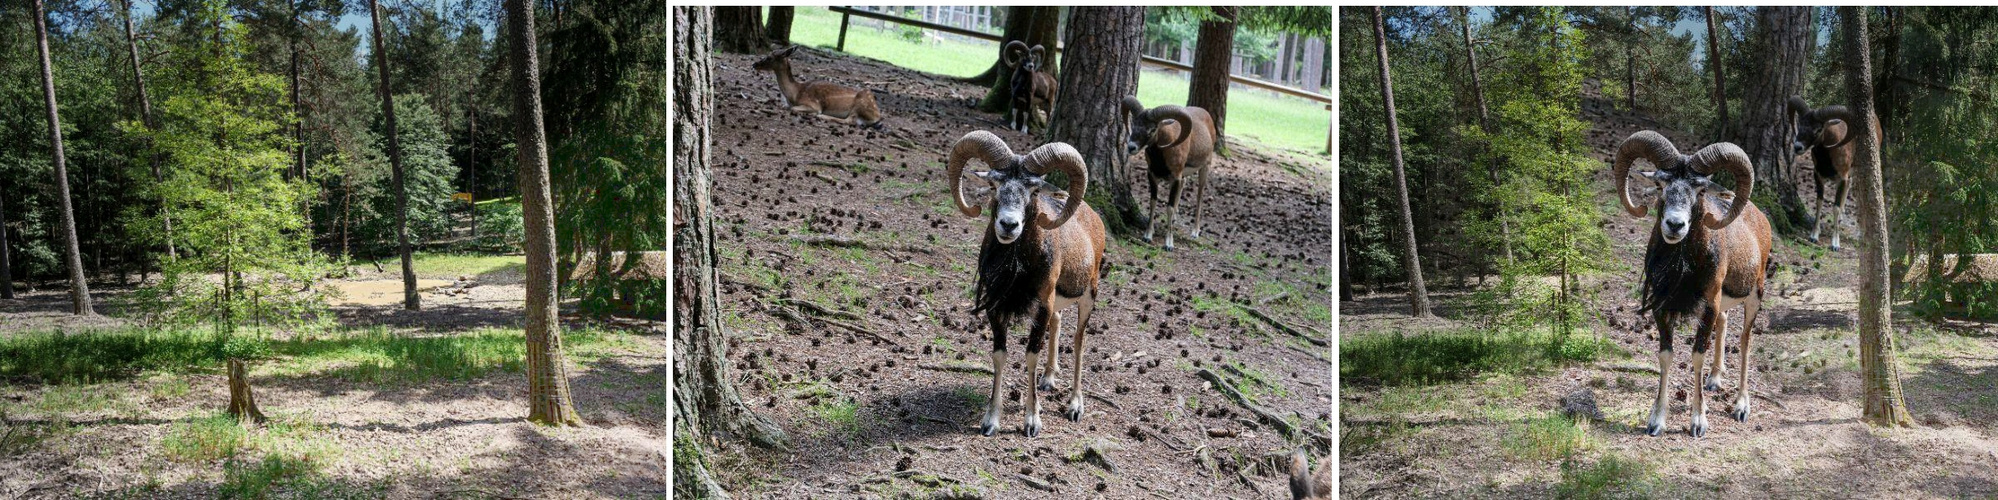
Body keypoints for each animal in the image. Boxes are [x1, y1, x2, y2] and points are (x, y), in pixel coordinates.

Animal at [755, 45, 883, 130]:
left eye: (769, 57)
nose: (754, 64)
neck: (795, 93)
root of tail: (877, 116)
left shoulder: (813, 104)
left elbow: (793, 109)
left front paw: (812, 114)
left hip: (859, 105)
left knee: (850, 121)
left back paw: (821, 116)